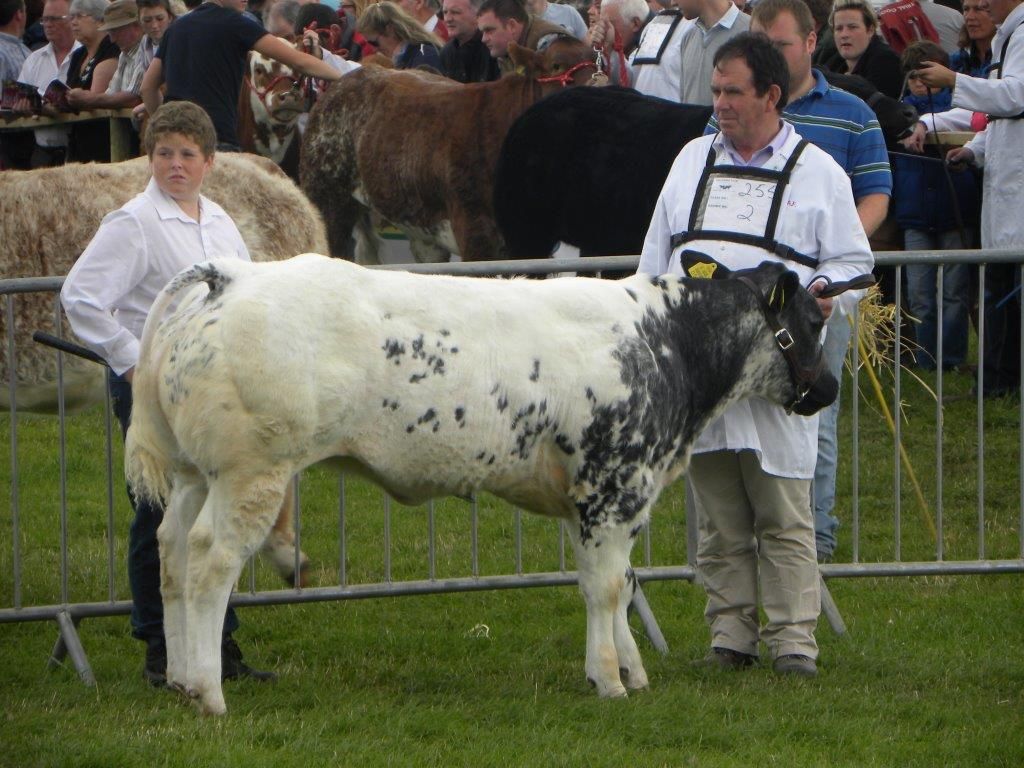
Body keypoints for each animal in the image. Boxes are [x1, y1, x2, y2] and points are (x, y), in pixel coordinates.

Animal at [124, 254, 840, 715]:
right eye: (812, 321)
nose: (830, 388)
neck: (665, 346)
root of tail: (230, 275)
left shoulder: (607, 501)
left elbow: (618, 583)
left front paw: (630, 670)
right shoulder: (614, 489)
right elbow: (607, 588)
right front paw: (609, 679)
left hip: (194, 473)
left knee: (171, 553)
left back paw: (182, 680)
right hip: (252, 472)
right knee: (210, 561)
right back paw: (209, 692)